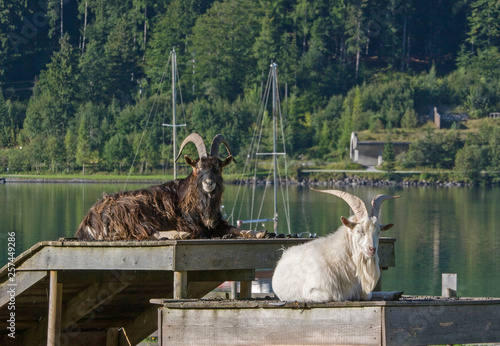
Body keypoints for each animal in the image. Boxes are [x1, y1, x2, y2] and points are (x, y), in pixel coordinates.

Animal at [73, 132, 250, 241]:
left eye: (218, 167)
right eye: (198, 167)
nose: (209, 183)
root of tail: (89, 220)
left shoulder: (218, 222)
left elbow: (237, 229)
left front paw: (253, 232)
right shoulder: (187, 222)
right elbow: (201, 231)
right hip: (130, 210)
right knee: (147, 232)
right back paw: (180, 235)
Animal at [272, 189, 400, 302]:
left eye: (378, 232)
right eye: (359, 231)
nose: (372, 249)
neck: (336, 260)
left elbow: (368, 295)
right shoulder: (311, 291)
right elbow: (330, 296)